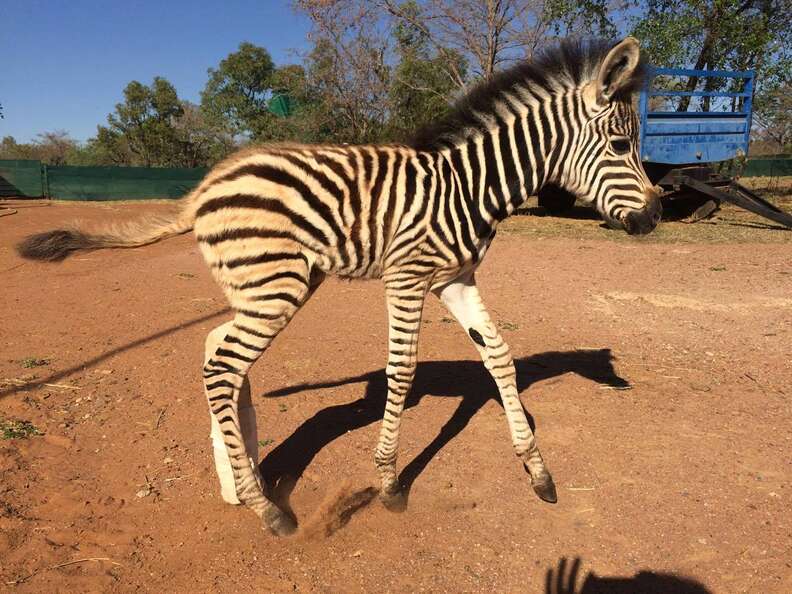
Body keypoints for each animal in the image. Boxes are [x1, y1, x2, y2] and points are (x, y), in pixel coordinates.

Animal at [18, 39, 664, 536]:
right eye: (619, 146)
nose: (656, 217)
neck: (470, 187)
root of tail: (204, 188)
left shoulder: (456, 278)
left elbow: (500, 358)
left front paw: (538, 473)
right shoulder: (408, 276)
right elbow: (401, 372)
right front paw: (389, 482)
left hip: (273, 285)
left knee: (215, 353)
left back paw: (239, 478)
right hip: (273, 286)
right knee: (223, 366)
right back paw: (266, 509)